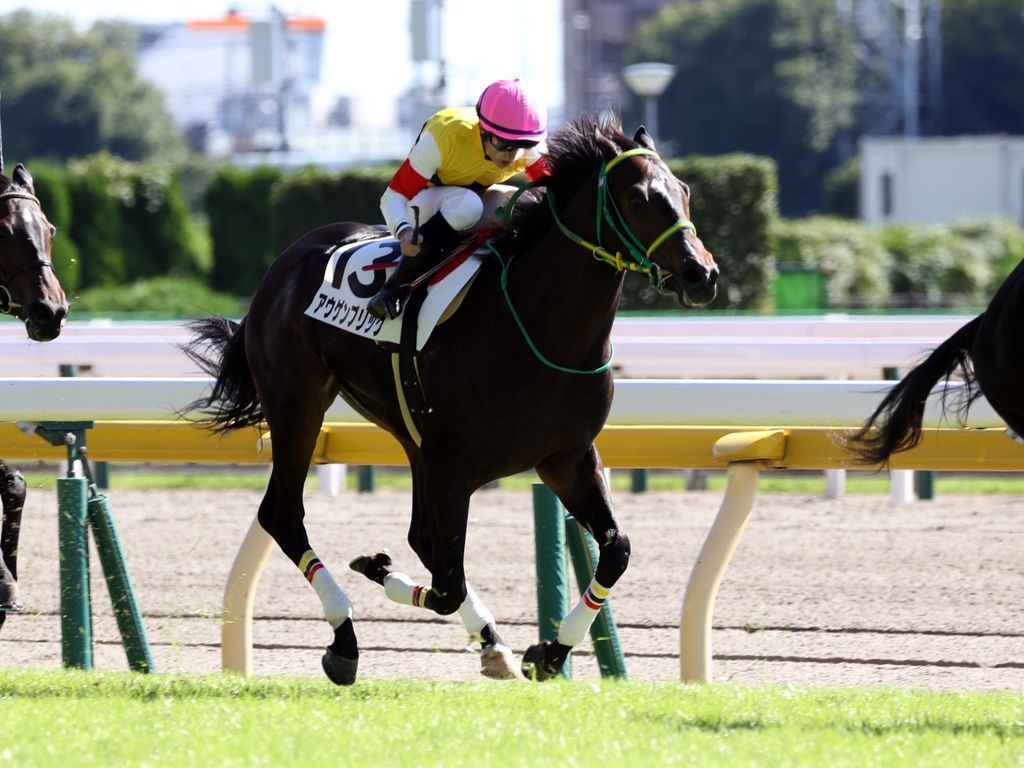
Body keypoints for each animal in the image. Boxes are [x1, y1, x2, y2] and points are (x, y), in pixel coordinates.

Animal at [185, 114, 718, 684]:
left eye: (685, 191)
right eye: (638, 198)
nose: (702, 274)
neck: (538, 326)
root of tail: (282, 264)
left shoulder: (565, 457)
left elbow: (616, 550)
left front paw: (548, 652)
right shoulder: (453, 464)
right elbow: (445, 584)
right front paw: (378, 568)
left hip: (409, 436)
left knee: (417, 538)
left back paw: (487, 641)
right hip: (299, 407)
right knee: (284, 515)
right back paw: (346, 641)